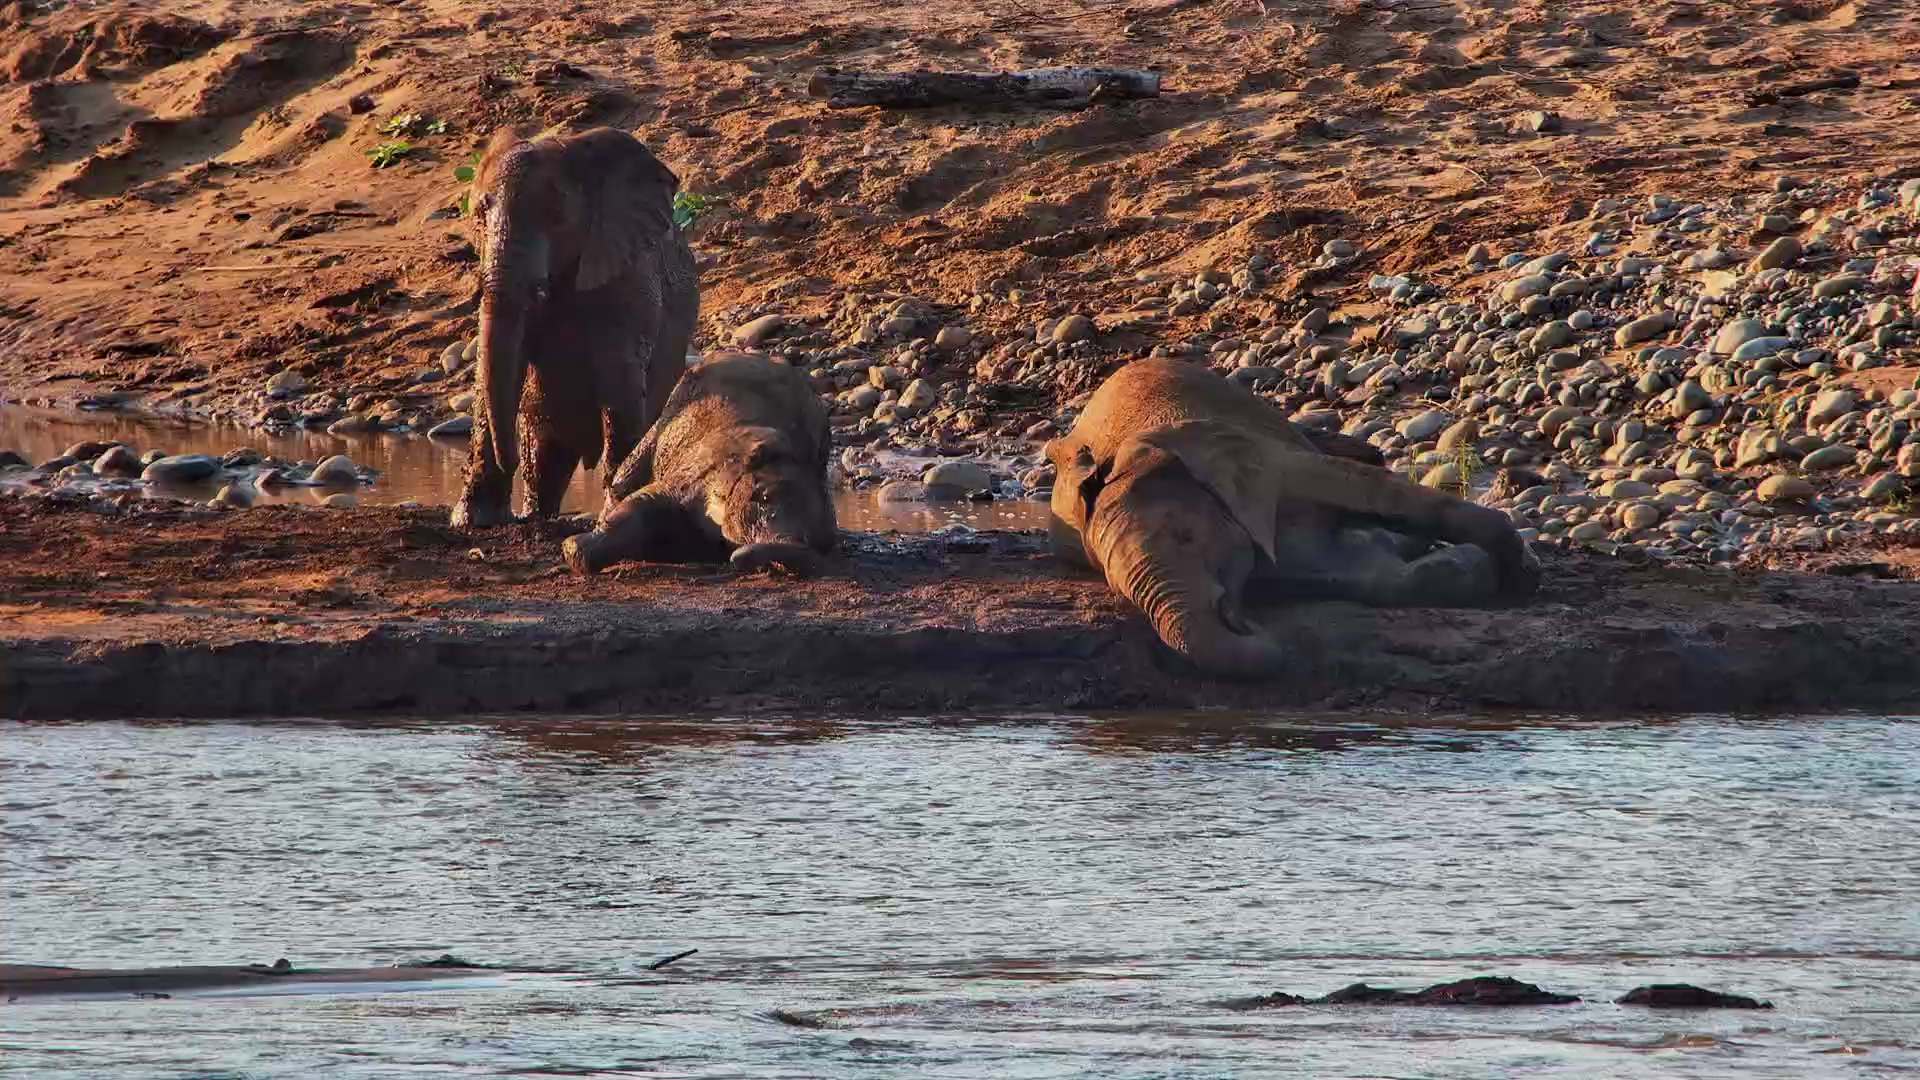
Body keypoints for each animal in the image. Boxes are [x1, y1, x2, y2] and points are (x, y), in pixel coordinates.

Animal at [451, 126, 699, 528]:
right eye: (479, 213)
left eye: (555, 216)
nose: (508, 462)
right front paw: (473, 521)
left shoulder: (631, 278)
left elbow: (621, 379)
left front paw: (614, 509)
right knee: (544, 457)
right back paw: (537, 515)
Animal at [561, 352, 836, 576]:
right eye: (761, 497)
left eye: (820, 540)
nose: (737, 560)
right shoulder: (697, 471)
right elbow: (641, 502)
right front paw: (572, 547)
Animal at [1046, 358, 1539, 677]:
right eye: (1115, 585)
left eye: (1187, 536)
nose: (1239, 618)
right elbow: (1371, 575)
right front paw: (1470, 566)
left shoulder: (1268, 463)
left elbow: (1379, 494)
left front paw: (1521, 576)